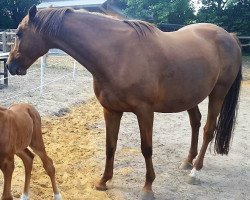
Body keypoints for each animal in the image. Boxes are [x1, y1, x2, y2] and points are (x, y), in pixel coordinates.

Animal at [6, 5, 242, 199]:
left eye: (18, 34)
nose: (9, 65)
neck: (117, 54)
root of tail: (229, 37)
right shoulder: (110, 110)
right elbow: (110, 146)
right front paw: (103, 181)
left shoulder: (145, 112)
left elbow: (146, 148)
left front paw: (148, 188)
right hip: (189, 96)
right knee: (196, 122)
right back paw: (187, 161)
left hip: (218, 93)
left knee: (209, 130)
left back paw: (195, 171)